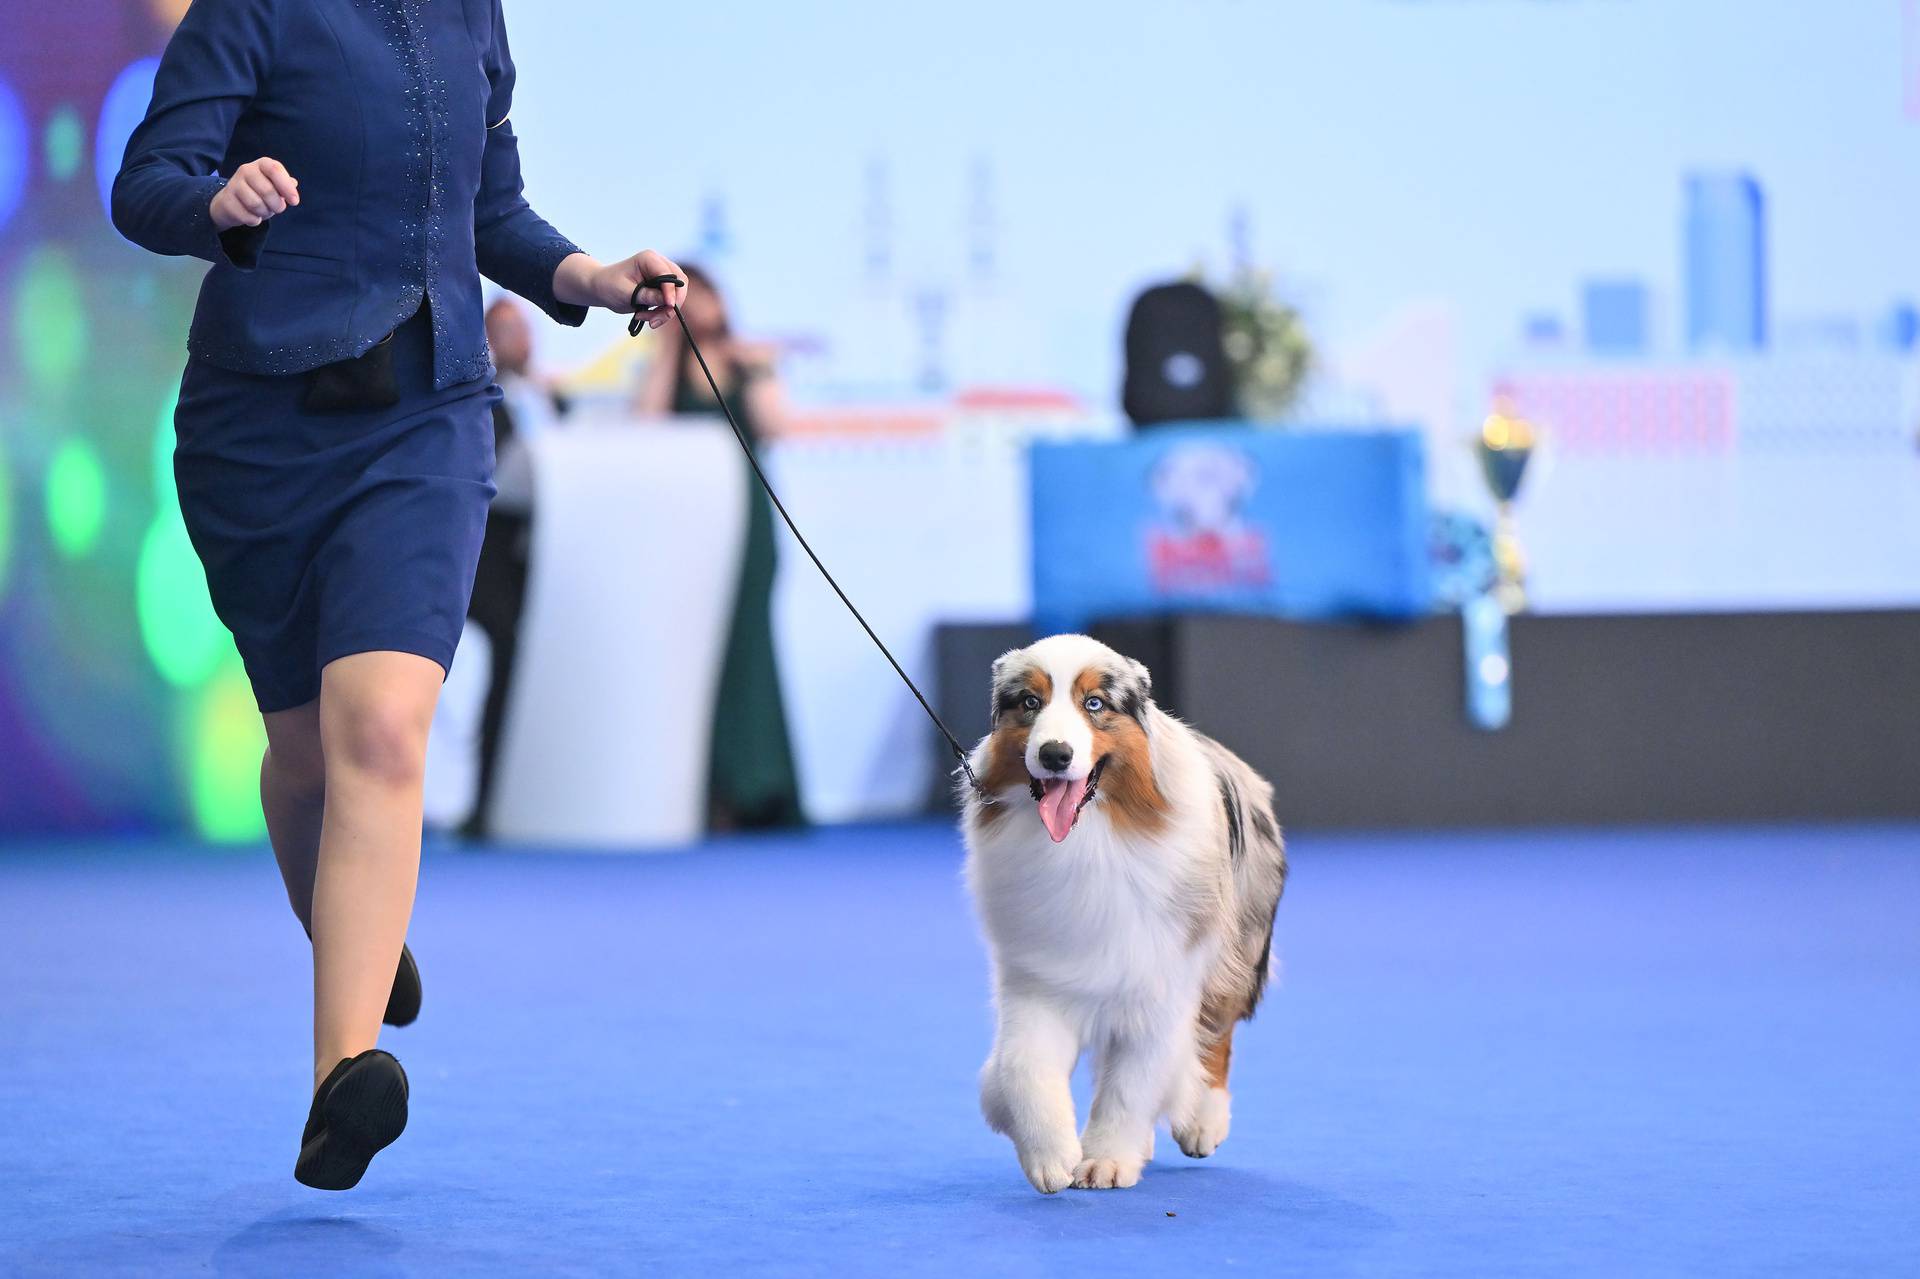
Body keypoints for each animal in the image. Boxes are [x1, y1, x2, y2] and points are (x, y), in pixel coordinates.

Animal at [960, 633, 1290, 1190]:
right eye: (1029, 702)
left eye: (1095, 704)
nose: (1054, 754)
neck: (1087, 841)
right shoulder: (1037, 978)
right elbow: (1021, 1065)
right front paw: (1048, 1154)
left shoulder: (1161, 983)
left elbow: (1132, 1083)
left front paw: (1106, 1159)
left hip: (1239, 945)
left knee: (1216, 1034)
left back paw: (1203, 1122)